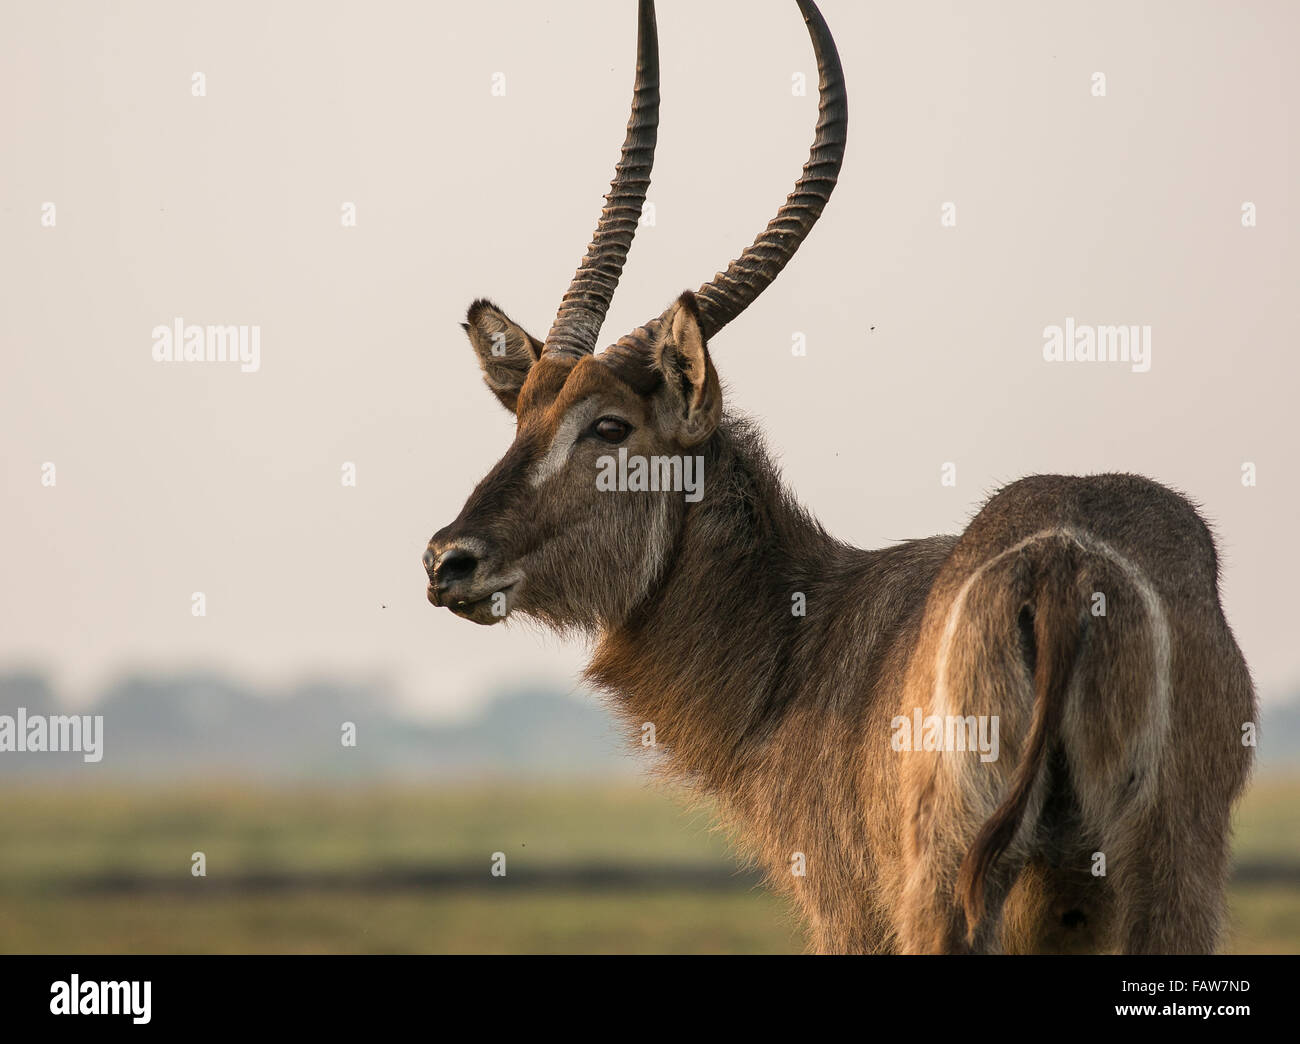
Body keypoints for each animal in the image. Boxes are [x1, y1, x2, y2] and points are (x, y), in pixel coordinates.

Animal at [426, 0, 1258, 951]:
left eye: (609, 425)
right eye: (523, 413)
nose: (449, 560)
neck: (801, 636)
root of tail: (1064, 561)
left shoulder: (846, 909)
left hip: (948, 882)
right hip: (1165, 881)